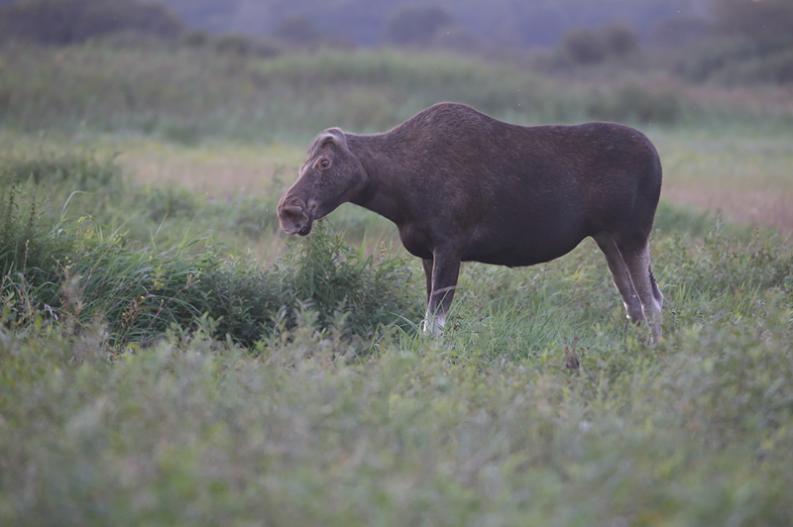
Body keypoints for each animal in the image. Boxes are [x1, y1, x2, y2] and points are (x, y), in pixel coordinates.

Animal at [278, 103, 664, 342]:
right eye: (302, 164)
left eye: (324, 163)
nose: (288, 211)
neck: (397, 193)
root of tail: (656, 157)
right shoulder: (427, 254)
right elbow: (428, 321)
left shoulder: (450, 246)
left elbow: (433, 325)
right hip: (607, 239)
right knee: (636, 303)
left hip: (633, 234)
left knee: (651, 302)